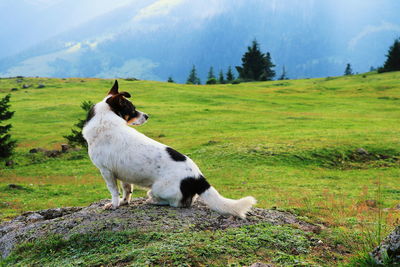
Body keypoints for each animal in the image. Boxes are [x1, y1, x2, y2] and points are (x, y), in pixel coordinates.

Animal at [82, 80, 256, 219]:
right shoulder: (121, 172)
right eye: (132, 109)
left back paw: (153, 200)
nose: (147, 116)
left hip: (158, 188)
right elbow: (126, 189)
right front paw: (124, 202)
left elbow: (113, 191)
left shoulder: (106, 171)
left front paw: (114, 205)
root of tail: (198, 177)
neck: (106, 120)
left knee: (176, 203)